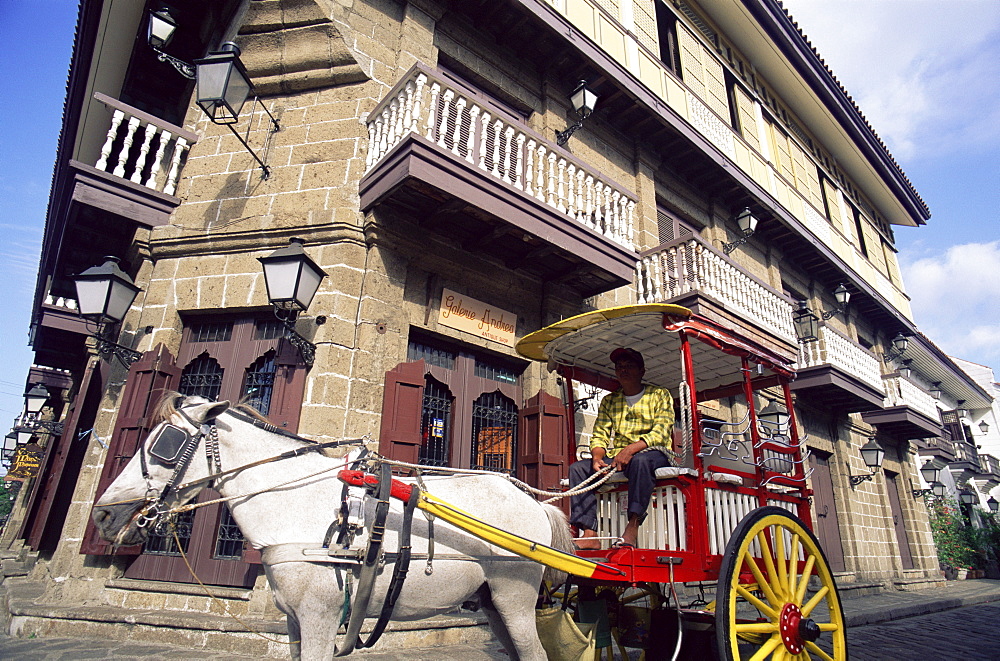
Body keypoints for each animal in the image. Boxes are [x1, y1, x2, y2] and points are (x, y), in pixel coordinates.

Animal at [93, 394, 572, 656]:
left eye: (165, 443)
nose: (103, 515)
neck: (294, 508)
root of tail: (533, 502)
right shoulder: (294, 621)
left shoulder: (319, 616)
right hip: (492, 603)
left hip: (514, 597)